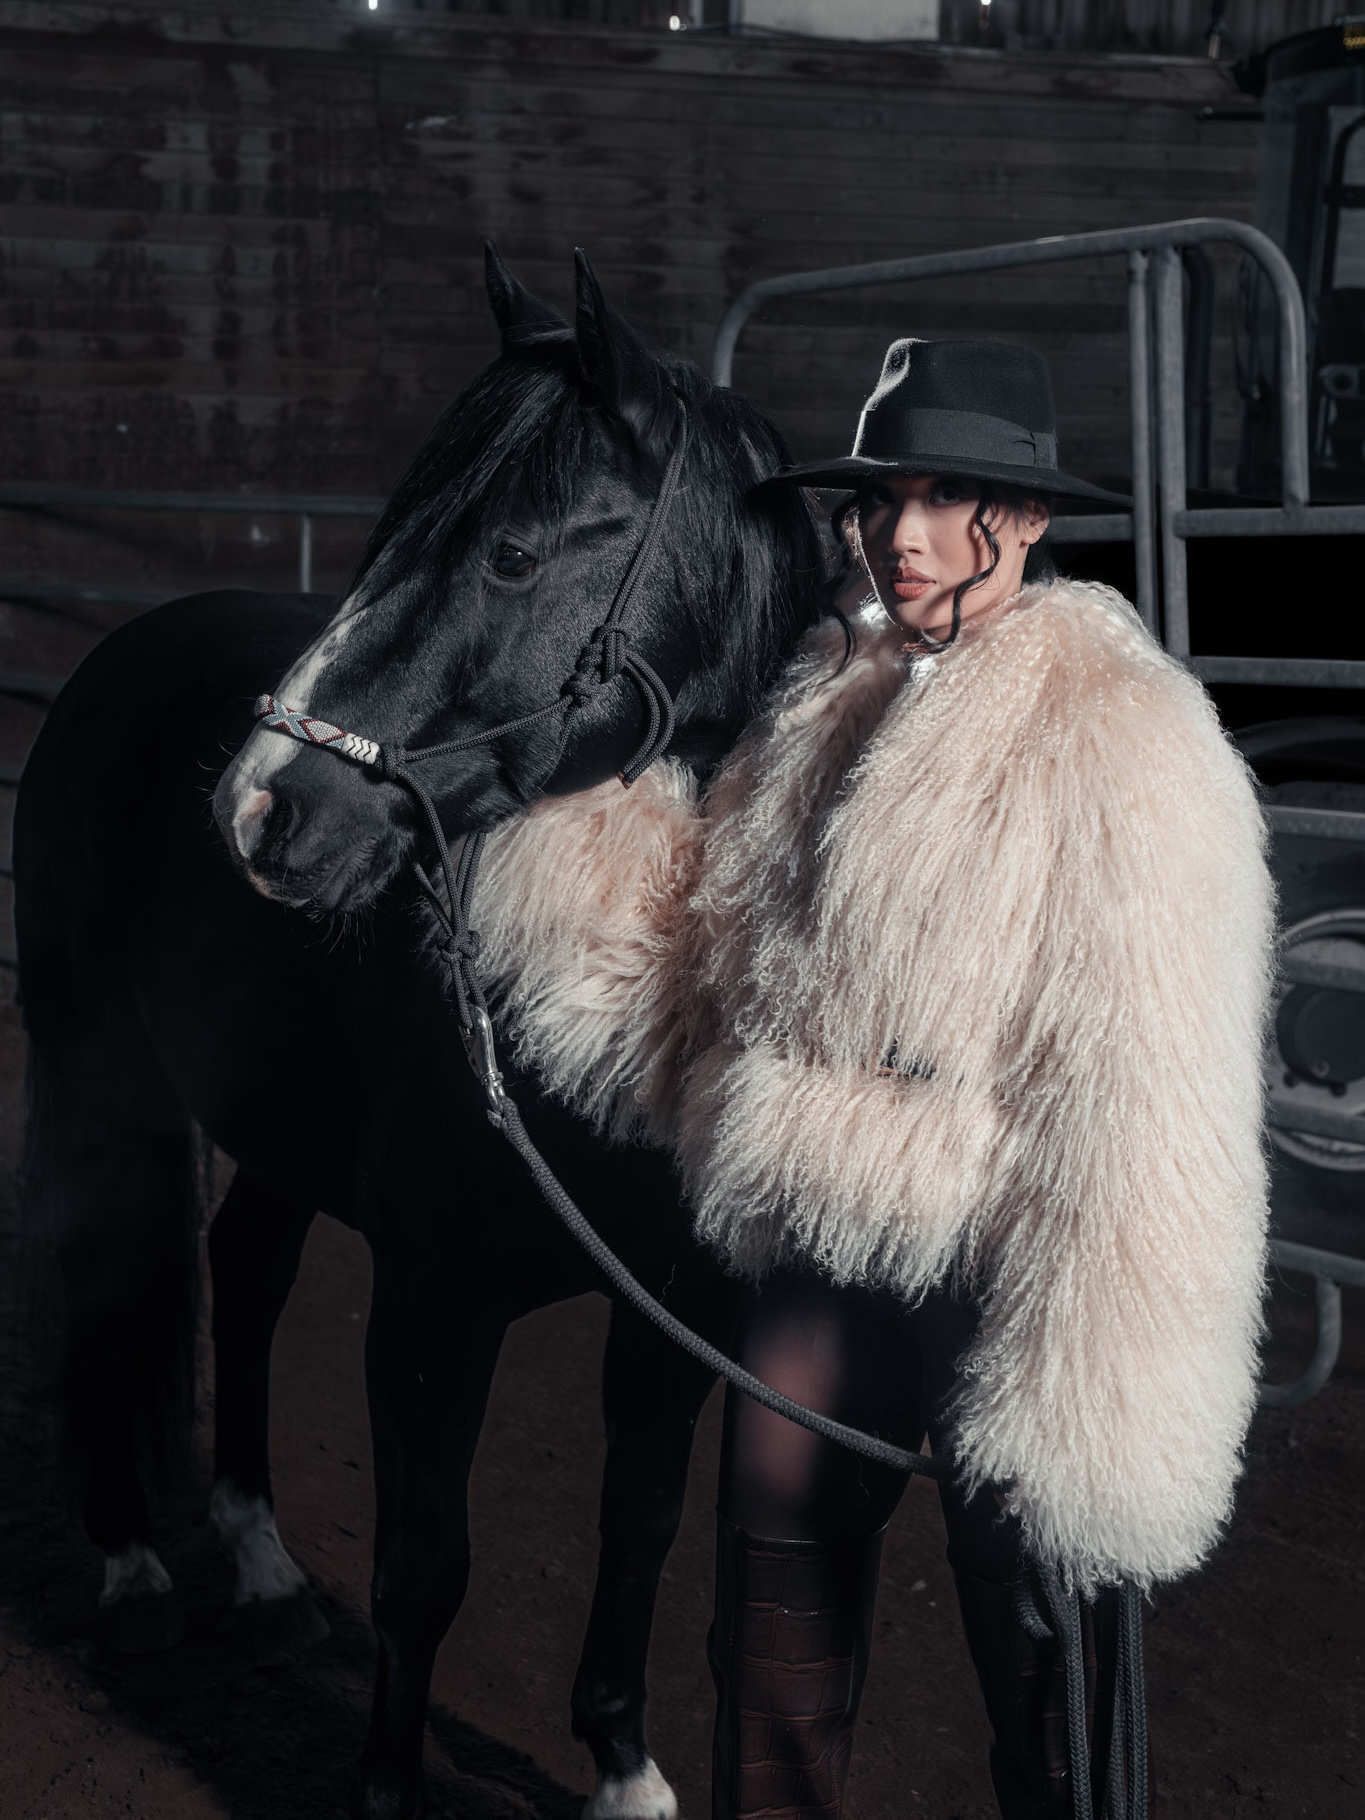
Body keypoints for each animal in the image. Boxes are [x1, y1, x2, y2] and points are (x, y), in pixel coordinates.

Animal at [14, 245, 826, 1820]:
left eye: (509, 555)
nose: (258, 809)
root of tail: (123, 651)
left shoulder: (674, 1314)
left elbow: (639, 1526)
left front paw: (623, 1766)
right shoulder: (435, 1301)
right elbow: (422, 1568)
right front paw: (390, 1790)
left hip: (275, 1124)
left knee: (243, 1269)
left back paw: (259, 1564)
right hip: (93, 1080)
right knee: (102, 1273)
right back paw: (135, 1568)